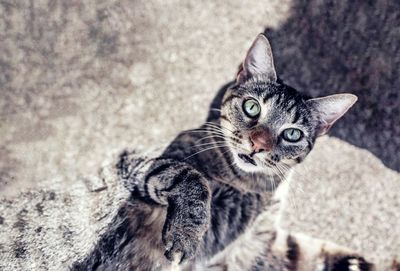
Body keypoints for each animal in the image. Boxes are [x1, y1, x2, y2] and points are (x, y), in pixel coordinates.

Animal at [72, 34, 378, 271]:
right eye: (252, 107)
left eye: (293, 134)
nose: (258, 144)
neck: (246, 183)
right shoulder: (136, 163)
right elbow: (191, 179)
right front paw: (185, 234)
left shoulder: (254, 243)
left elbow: (297, 250)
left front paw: (354, 263)